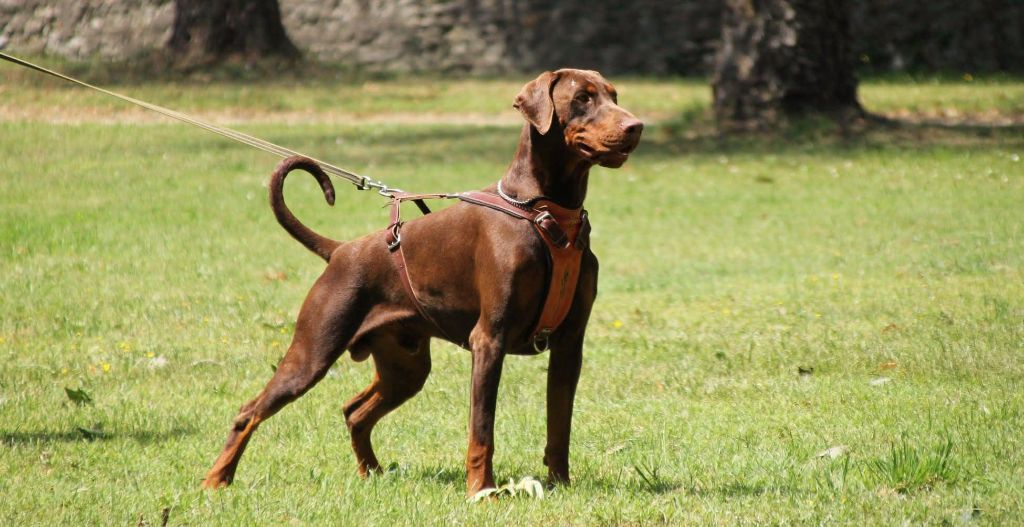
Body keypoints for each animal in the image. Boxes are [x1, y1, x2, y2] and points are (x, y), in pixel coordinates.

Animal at [201, 69, 638, 495]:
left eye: (614, 95)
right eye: (582, 97)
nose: (636, 126)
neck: (545, 213)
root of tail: (340, 251)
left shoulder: (569, 343)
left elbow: (559, 425)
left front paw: (559, 483)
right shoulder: (490, 339)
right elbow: (482, 429)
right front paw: (481, 490)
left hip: (405, 366)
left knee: (354, 412)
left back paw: (373, 473)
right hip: (313, 351)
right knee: (250, 411)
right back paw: (216, 480)